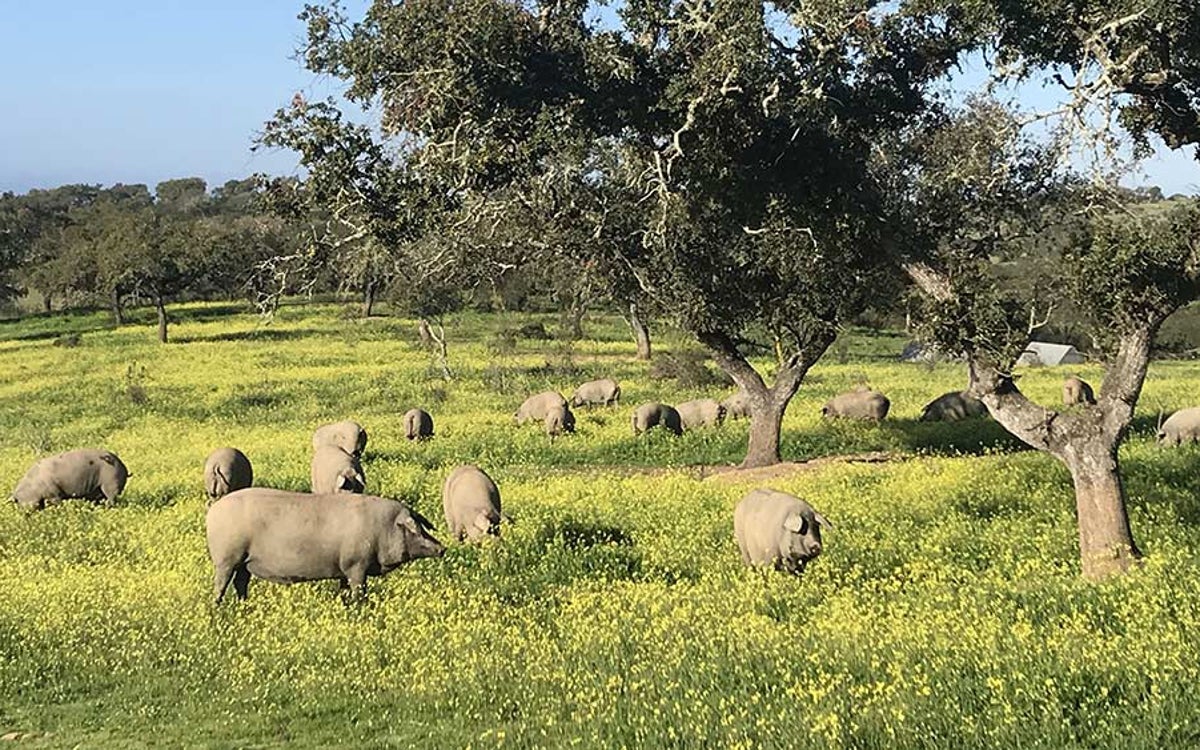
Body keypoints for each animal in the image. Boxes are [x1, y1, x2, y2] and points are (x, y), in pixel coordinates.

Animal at [207, 484, 446, 602]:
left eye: (423, 526)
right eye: (415, 529)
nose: (442, 548)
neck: (381, 529)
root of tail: (213, 511)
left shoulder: (343, 570)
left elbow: (344, 591)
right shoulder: (356, 565)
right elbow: (359, 592)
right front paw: (360, 607)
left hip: (244, 563)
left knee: (241, 583)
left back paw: (244, 606)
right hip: (226, 559)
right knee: (221, 585)